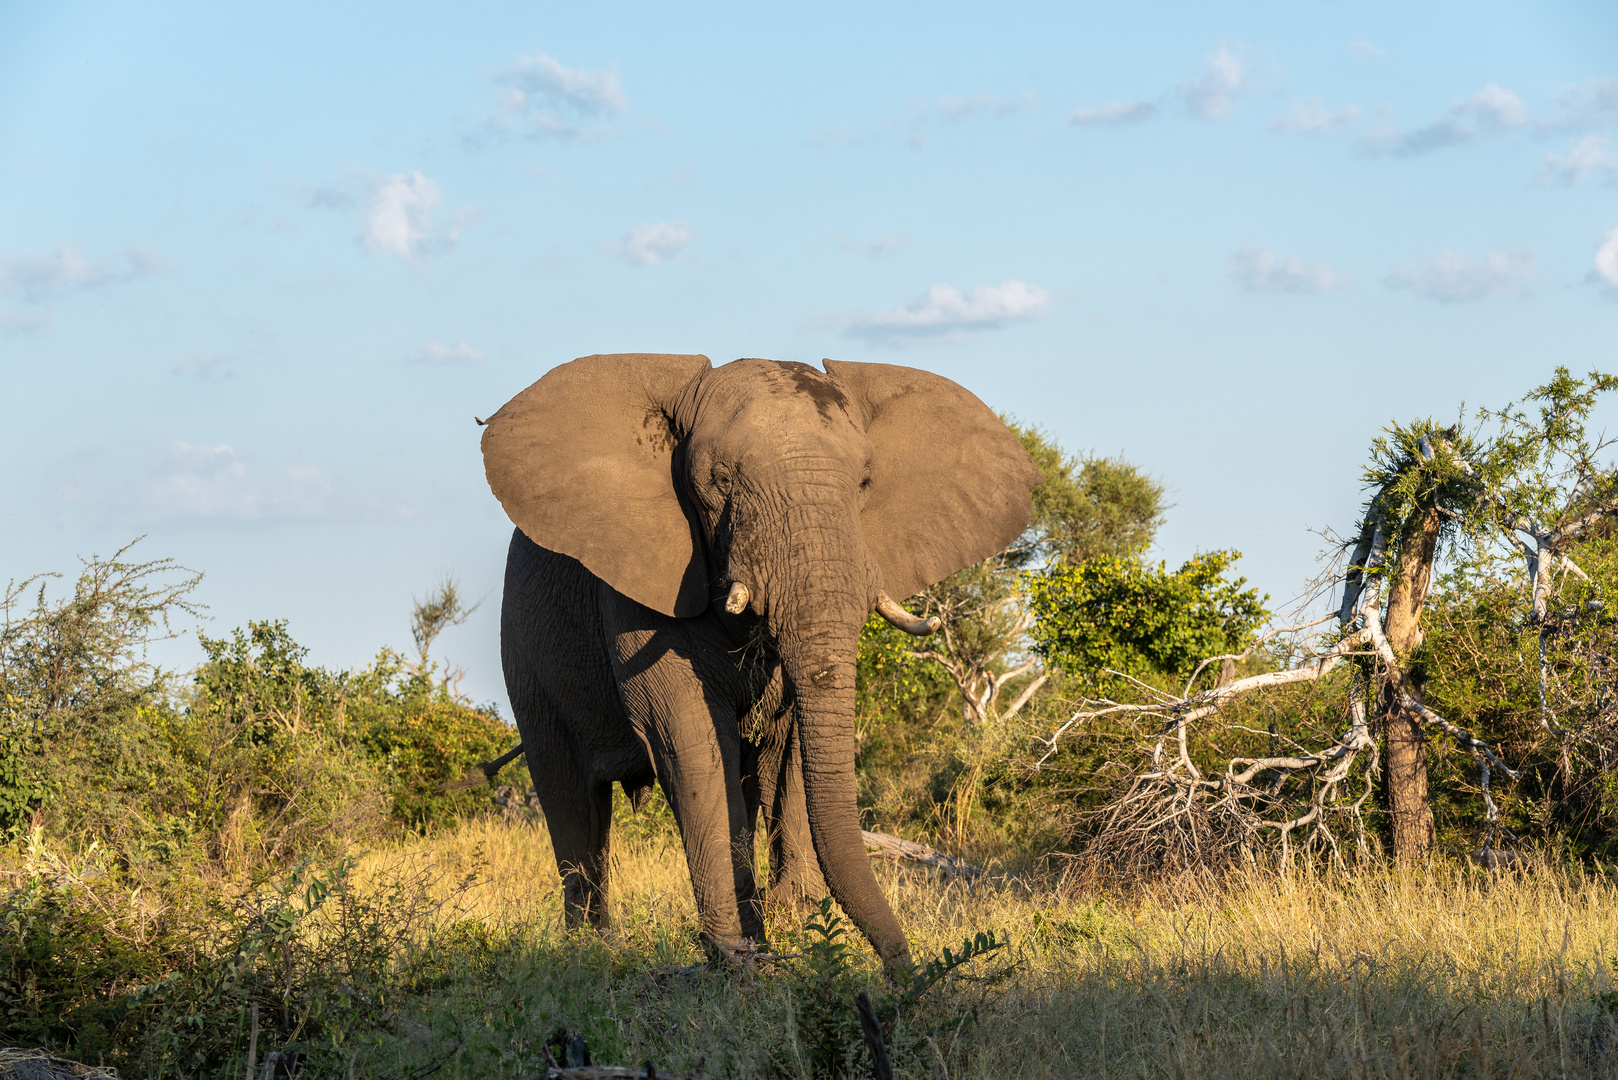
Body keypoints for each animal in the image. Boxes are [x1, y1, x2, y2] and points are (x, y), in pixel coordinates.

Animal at [478, 356, 1035, 971]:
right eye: (720, 481)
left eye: (865, 483)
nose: (904, 974)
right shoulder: (639, 581)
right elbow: (690, 741)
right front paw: (740, 957)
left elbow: (792, 743)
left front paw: (798, 925)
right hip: (524, 652)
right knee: (573, 800)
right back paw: (590, 955)